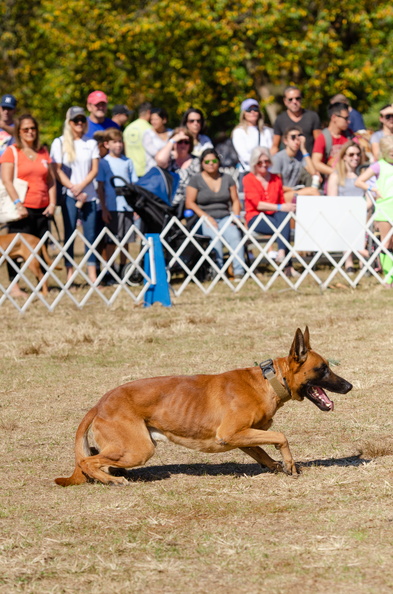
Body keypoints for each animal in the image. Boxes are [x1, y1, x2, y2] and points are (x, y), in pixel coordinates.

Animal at [55, 324, 352, 486]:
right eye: (323, 369)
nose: (349, 386)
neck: (270, 381)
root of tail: (99, 403)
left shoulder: (242, 437)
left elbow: (262, 453)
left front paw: (278, 466)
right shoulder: (230, 434)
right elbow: (281, 437)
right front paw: (289, 464)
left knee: (94, 461)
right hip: (139, 449)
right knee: (87, 462)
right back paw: (113, 480)